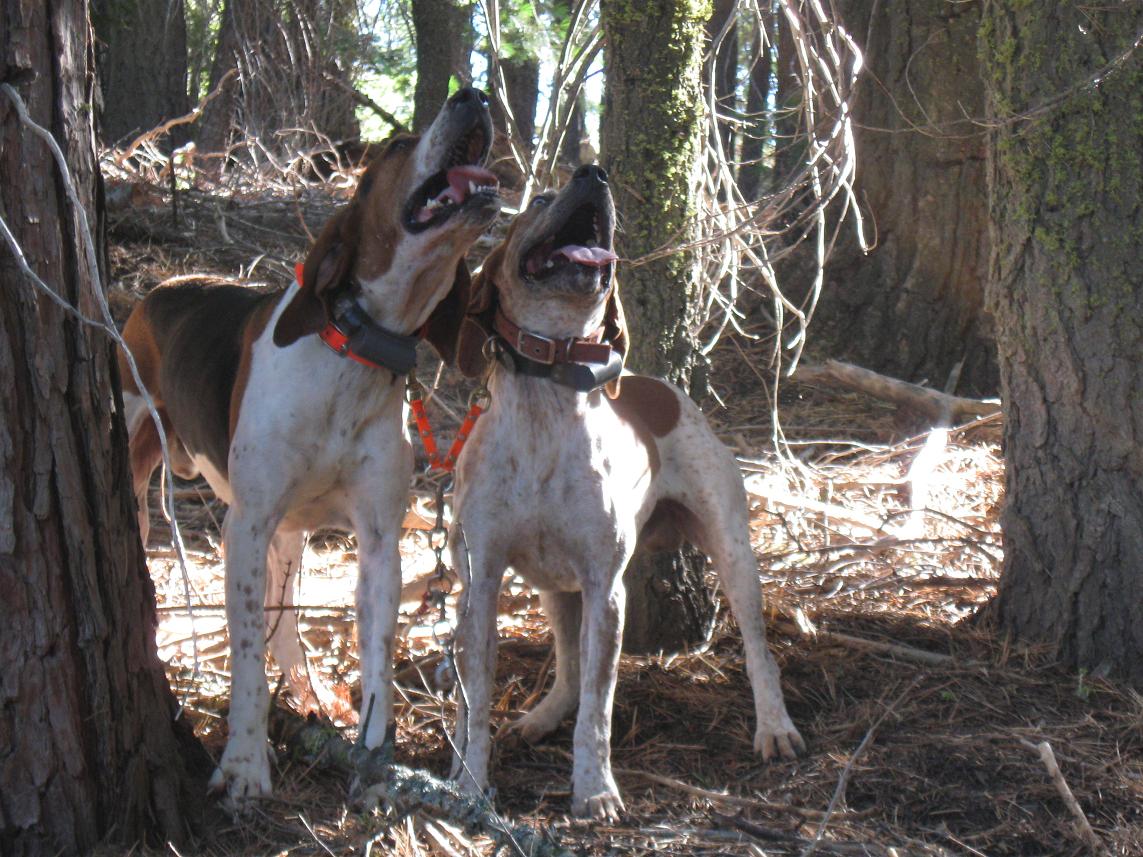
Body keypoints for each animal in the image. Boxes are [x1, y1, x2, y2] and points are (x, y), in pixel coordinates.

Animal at [117, 88, 500, 808]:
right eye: (398, 144)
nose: (474, 96)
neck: (351, 354)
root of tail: (162, 286)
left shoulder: (378, 542)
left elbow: (376, 654)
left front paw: (375, 765)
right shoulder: (246, 524)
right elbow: (244, 652)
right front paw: (244, 762)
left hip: (290, 535)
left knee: (289, 618)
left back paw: (309, 692)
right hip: (140, 457)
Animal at [446, 164, 805, 820]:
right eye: (539, 198)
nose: (594, 172)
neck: (550, 396)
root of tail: (656, 387)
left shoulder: (605, 588)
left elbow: (598, 707)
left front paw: (594, 790)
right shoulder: (479, 585)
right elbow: (476, 700)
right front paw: (467, 785)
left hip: (733, 555)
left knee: (758, 651)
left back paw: (775, 727)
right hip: (555, 589)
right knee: (564, 670)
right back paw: (540, 718)